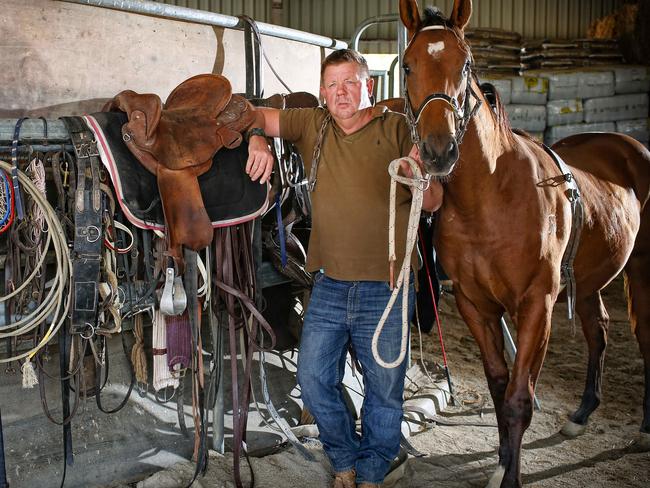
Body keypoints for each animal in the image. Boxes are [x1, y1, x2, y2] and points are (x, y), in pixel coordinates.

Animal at [398, 0, 648, 488]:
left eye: (466, 64)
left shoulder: (537, 304)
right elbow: (499, 388)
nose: (438, 151)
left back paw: (644, 428)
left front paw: (510, 474)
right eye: (407, 65)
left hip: (643, 273)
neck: (491, 195)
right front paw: (500, 462)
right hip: (587, 283)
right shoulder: (476, 306)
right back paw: (581, 414)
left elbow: (520, 396)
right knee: (599, 330)